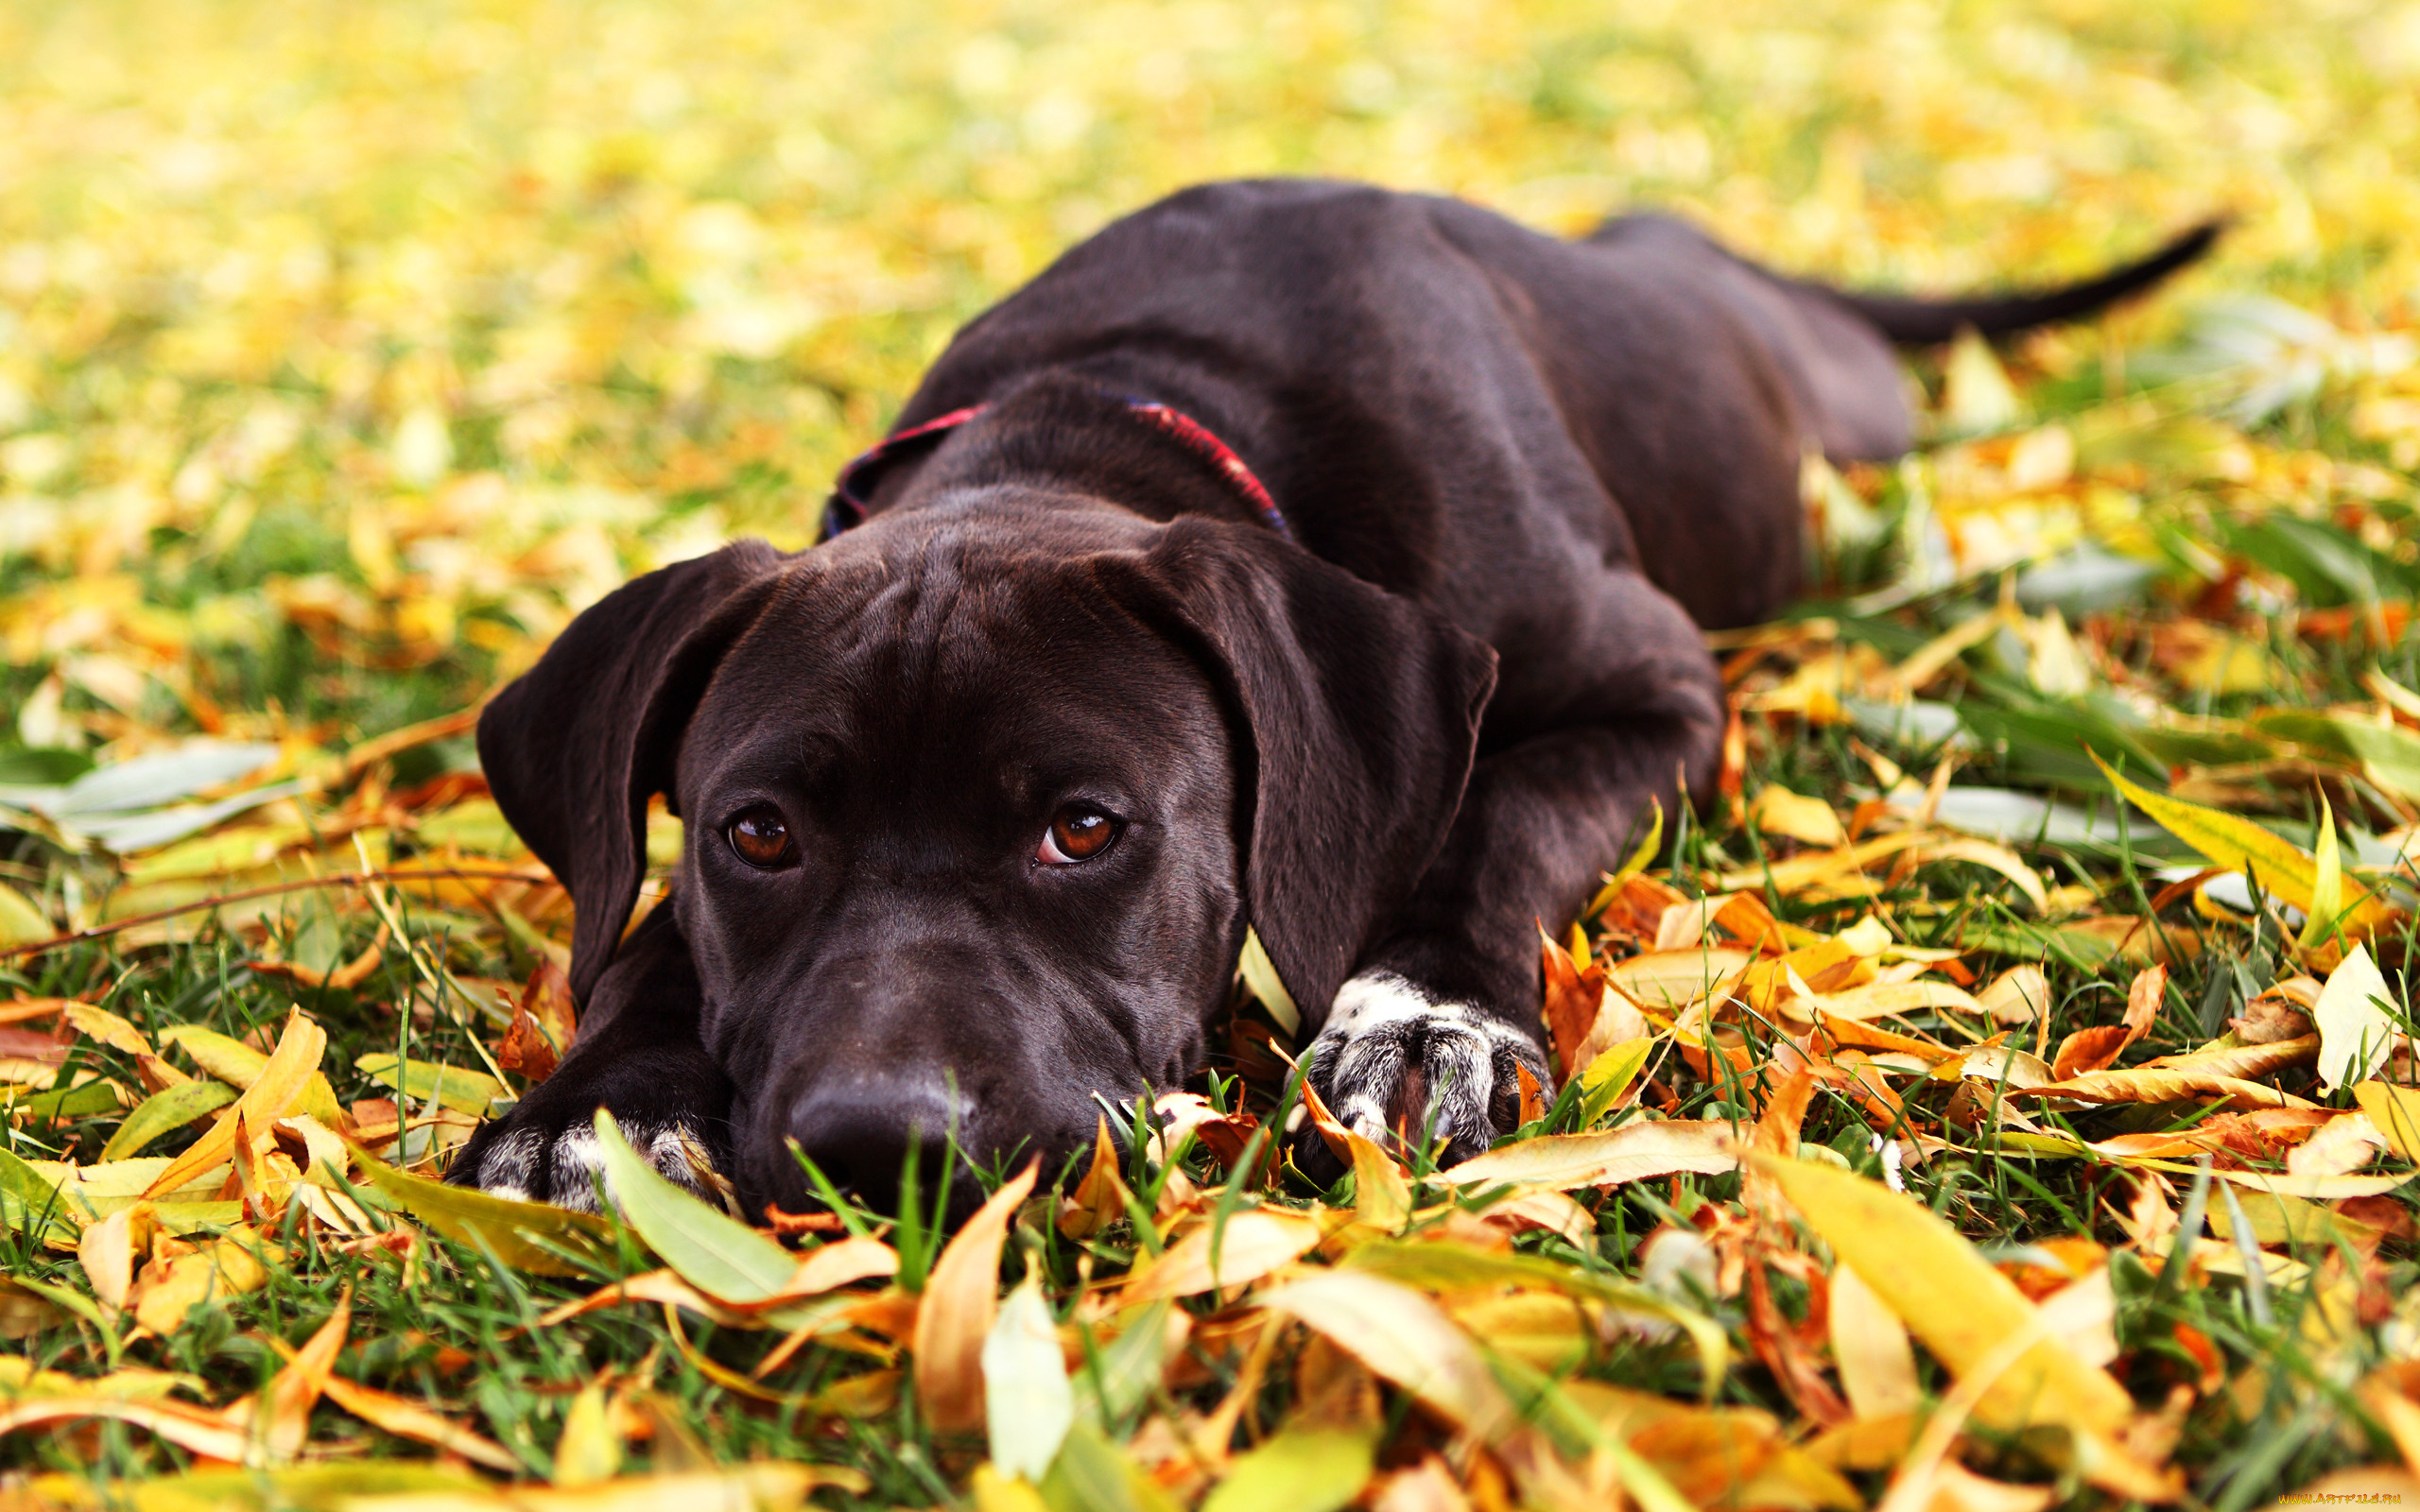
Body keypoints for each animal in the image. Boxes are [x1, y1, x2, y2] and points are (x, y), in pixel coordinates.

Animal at [455, 176, 2216, 1214]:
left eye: (1085, 829)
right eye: (756, 834)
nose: (880, 1146)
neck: (1112, 406)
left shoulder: (1656, 687)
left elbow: (1491, 814)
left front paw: (1422, 1013)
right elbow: (647, 941)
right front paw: (591, 1109)